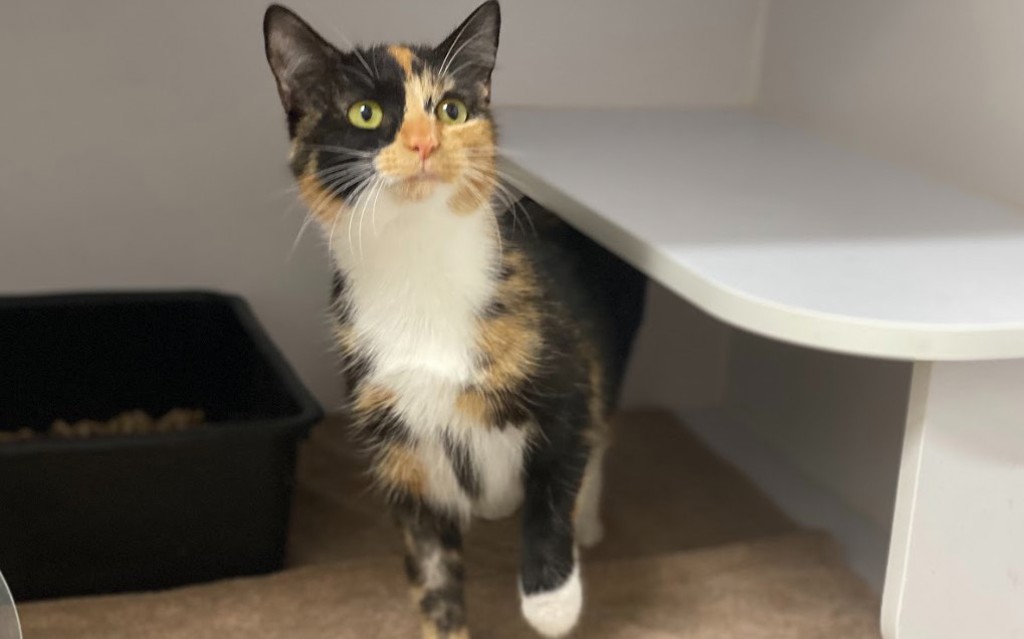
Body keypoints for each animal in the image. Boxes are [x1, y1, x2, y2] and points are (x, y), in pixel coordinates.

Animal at [263, 2, 646, 637]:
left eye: (452, 109)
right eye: (365, 113)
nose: (424, 143)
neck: (419, 270)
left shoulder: (566, 377)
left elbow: (556, 480)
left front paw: (552, 602)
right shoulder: (400, 448)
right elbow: (432, 570)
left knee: (600, 429)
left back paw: (587, 523)